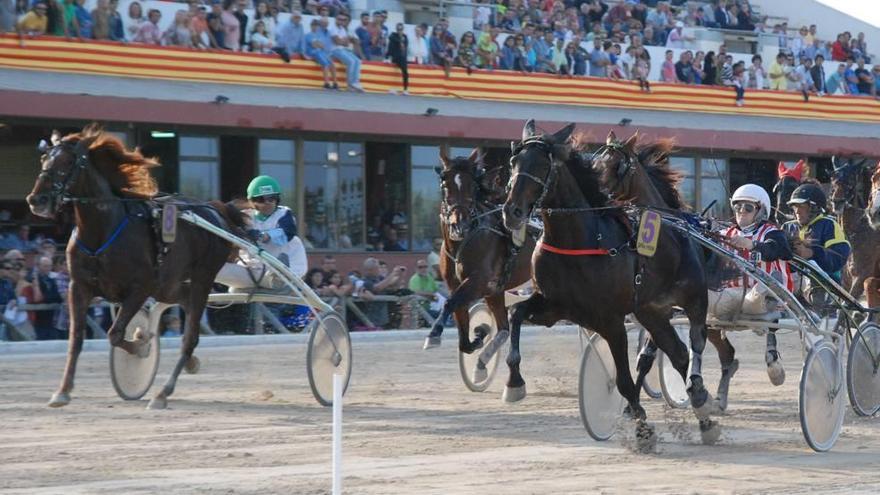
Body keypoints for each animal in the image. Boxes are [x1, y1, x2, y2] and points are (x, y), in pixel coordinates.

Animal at [26, 125, 246, 410]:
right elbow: (76, 338)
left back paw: (163, 393)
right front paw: (62, 391)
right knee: (186, 308)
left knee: (190, 336)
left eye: (68, 162)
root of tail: (214, 210)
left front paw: (141, 346)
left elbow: (116, 334)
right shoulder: (78, 287)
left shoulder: (140, 287)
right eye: (44, 159)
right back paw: (190, 364)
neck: (102, 230)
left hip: (201, 278)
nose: (37, 199)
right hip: (169, 284)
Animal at [422, 147, 532, 384]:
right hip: (497, 292)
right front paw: (479, 335)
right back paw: (483, 363)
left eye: (472, 185)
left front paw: (434, 334)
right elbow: (462, 327)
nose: (459, 224)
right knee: (503, 328)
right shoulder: (472, 286)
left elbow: (449, 303)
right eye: (445, 184)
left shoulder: (480, 282)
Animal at [502, 121, 720, 446]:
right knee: (679, 353)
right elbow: (515, 314)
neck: (578, 241)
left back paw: (699, 394)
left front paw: (643, 429)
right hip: (651, 312)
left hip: (693, 297)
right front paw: (514, 382)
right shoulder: (555, 307)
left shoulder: (611, 321)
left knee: (695, 341)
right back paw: (704, 417)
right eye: (514, 161)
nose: (511, 211)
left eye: (542, 165)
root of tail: (681, 228)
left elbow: (624, 381)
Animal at [592, 131, 744, 410]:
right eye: (595, 164)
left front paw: (697, 389)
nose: (599, 198)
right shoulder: (651, 307)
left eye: (617, 166)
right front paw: (631, 404)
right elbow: (649, 354)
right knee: (720, 350)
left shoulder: (696, 302)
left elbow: (695, 341)